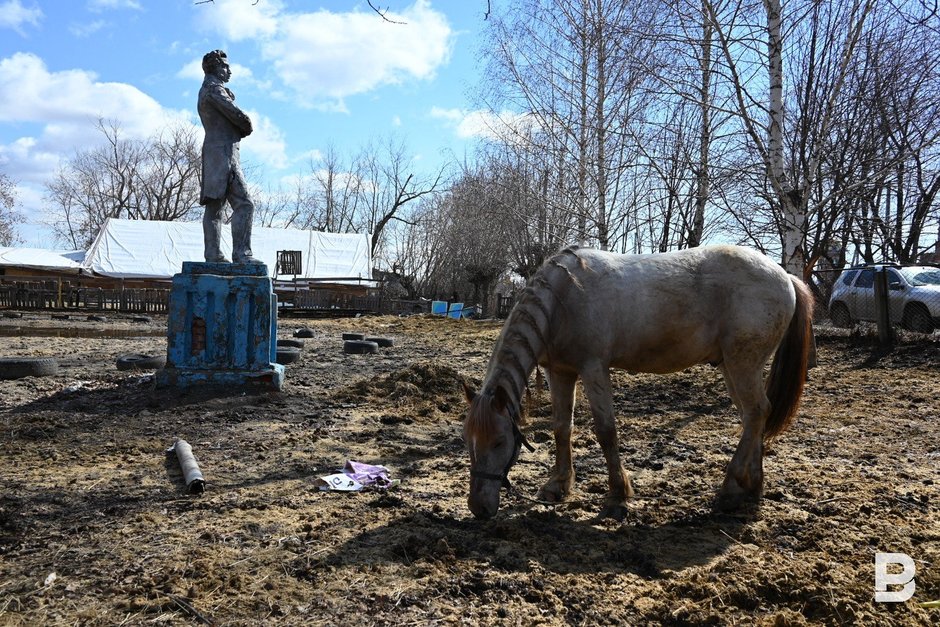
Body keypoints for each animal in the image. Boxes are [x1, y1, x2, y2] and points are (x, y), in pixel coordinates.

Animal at [464, 245, 816, 520]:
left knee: (756, 412)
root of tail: (785, 277)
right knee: (752, 417)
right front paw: (558, 486)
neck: (562, 299)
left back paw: (731, 488)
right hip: (732, 366)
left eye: (499, 442)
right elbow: (562, 428)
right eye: (468, 440)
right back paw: (752, 486)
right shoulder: (561, 372)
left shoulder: (593, 368)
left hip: (743, 363)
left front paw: (618, 493)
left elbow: (606, 431)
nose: (478, 507)